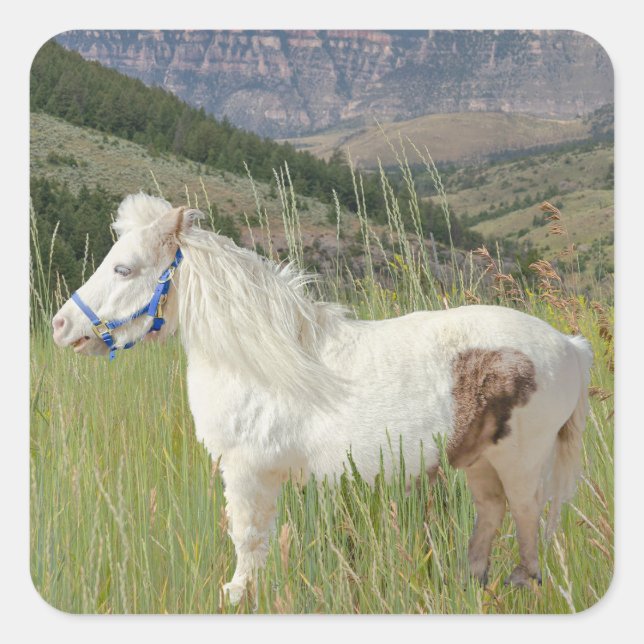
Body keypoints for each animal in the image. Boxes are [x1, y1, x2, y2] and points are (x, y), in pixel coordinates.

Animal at [52, 193, 593, 604]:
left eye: (124, 269)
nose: (61, 325)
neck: (260, 360)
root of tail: (570, 345)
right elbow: (259, 539)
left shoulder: (246, 471)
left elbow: (247, 537)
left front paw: (235, 596)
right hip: (480, 462)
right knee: (492, 513)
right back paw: (469, 582)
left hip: (521, 462)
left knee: (526, 520)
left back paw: (520, 584)